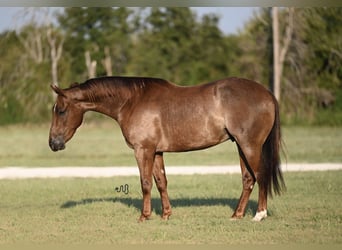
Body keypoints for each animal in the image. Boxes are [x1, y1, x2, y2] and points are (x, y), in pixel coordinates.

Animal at [48, 75, 286, 221]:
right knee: (248, 179)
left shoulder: (143, 150)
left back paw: (259, 214)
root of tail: (267, 93)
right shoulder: (156, 151)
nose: (53, 143)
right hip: (241, 147)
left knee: (260, 176)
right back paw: (237, 215)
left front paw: (144, 216)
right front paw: (166, 214)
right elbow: (161, 181)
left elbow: (145, 183)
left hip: (250, 146)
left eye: (61, 110)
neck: (131, 101)